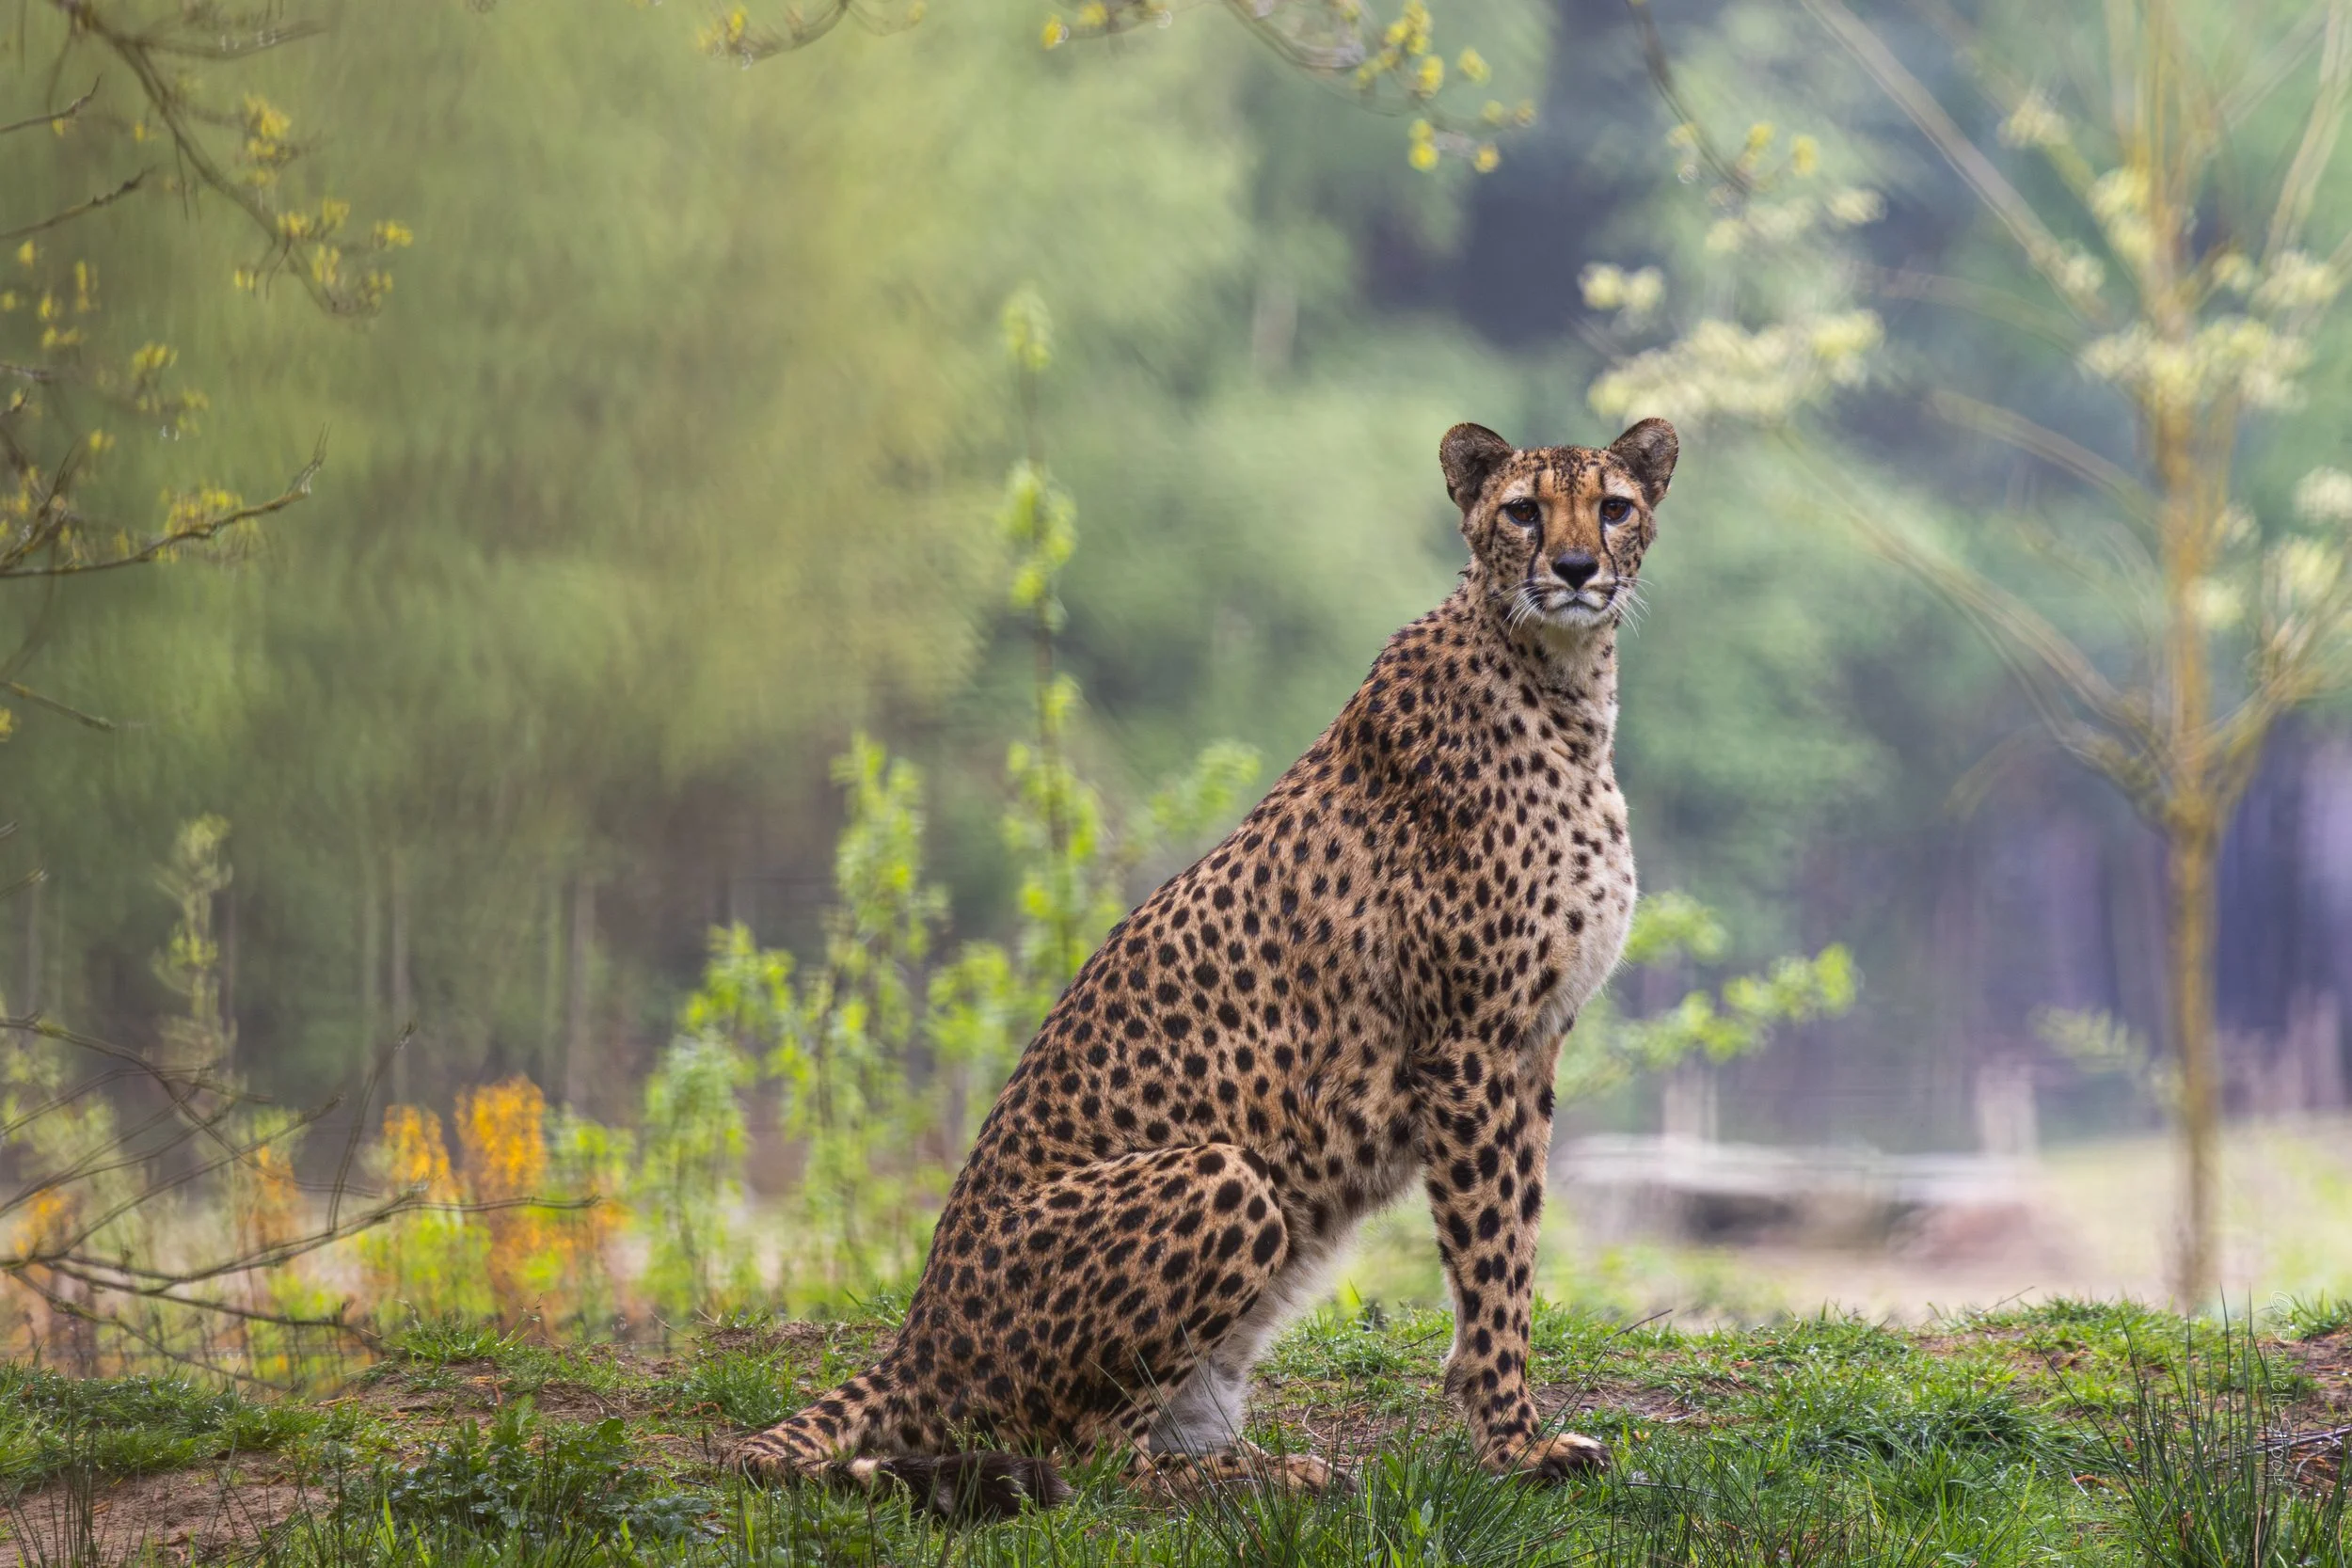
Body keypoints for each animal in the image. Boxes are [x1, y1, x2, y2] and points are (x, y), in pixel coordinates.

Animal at [737, 415, 1678, 1520]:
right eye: (1524, 510)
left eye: (1613, 506)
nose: (1574, 569)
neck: (1561, 678)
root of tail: (916, 1331)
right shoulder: (1472, 1047)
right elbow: (1491, 1258)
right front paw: (1515, 1444)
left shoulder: (1530, 1048)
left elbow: (1517, 1244)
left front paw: (1512, 1427)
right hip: (1226, 1174)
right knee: (1092, 1459)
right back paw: (1264, 1478)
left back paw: (1276, 1465)